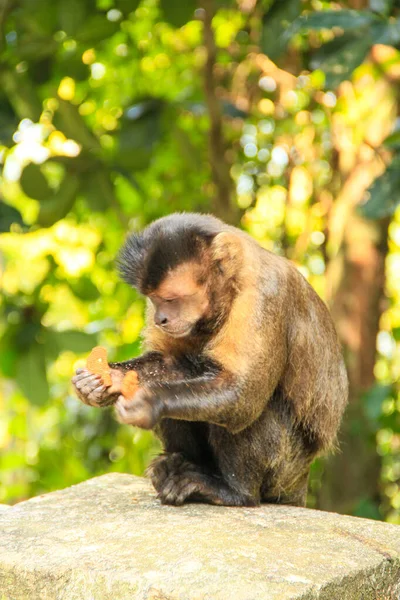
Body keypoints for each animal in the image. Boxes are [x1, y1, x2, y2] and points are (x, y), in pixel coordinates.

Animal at [71, 212, 346, 506]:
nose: (160, 318)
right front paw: (105, 380)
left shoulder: (263, 294)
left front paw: (150, 400)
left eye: (171, 299)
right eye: (154, 300)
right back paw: (180, 466)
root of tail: (301, 479)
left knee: (254, 408)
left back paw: (234, 491)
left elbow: (242, 393)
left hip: (286, 467)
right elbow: (168, 362)